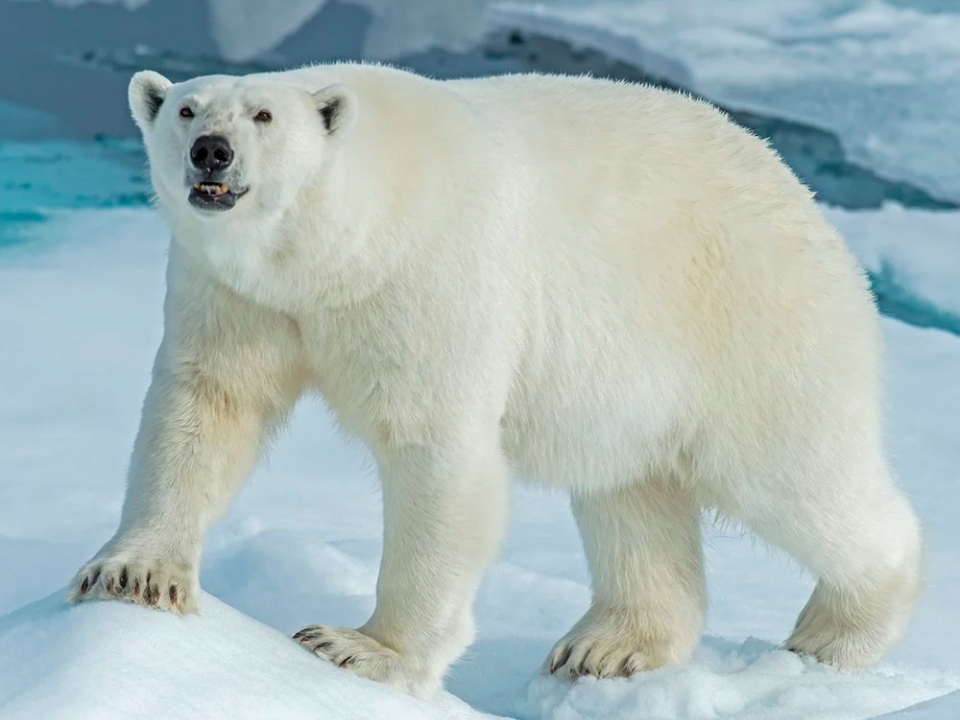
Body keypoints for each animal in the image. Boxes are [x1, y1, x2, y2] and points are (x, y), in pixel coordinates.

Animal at [67, 64, 924, 700]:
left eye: (265, 116)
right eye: (185, 109)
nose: (211, 151)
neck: (338, 246)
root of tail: (800, 195)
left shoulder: (428, 275)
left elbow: (435, 451)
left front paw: (358, 649)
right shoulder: (239, 294)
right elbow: (208, 405)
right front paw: (134, 573)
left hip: (748, 321)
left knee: (793, 473)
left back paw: (834, 633)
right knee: (630, 494)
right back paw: (606, 648)